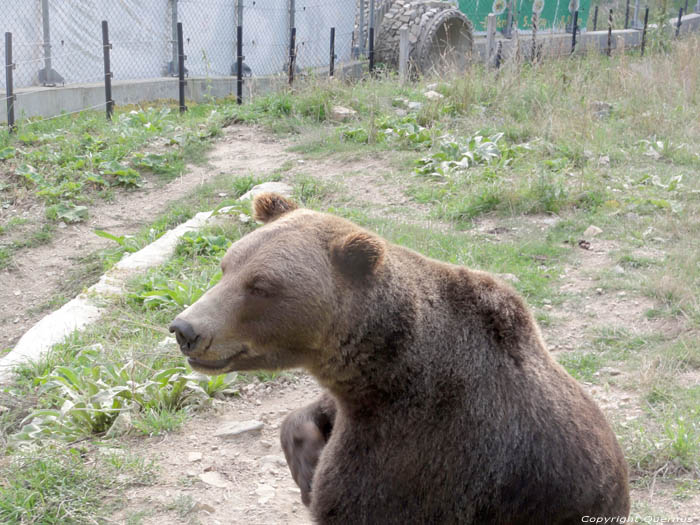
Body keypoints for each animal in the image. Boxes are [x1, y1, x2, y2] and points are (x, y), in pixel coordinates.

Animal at [168, 193, 628, 524]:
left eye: (261, 285)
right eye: (227, 266)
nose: (186, 329)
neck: (386, 369)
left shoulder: (424, 451)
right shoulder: (356, 402)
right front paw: (306, 462)